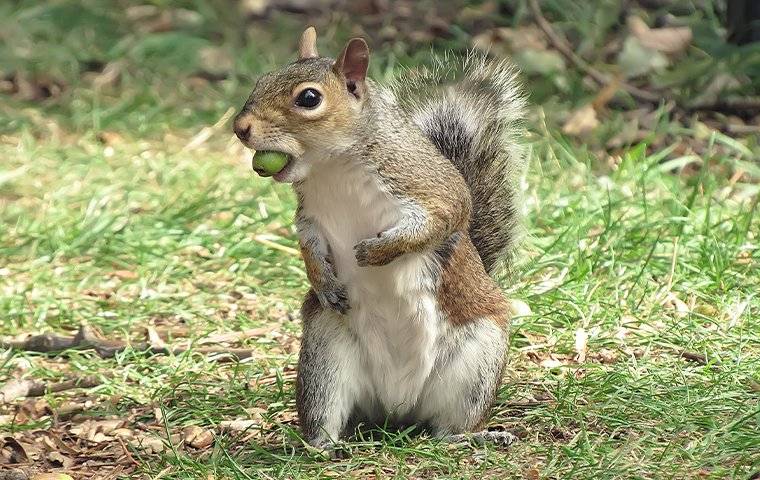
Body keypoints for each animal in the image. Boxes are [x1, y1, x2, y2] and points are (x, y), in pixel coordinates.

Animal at [235, 27, 524, 450]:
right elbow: (307, 243)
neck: (332, 167)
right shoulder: (310, 216)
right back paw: (324, 445)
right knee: (326, 413)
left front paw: (377, 251)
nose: (240, 128)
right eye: (261, 80)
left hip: (476, 361)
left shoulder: (429, 186)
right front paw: (324, 282)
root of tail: (397, 410)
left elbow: (444, 217)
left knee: (446, 429)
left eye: (309, 98)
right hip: (326, 356)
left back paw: (474, 438)